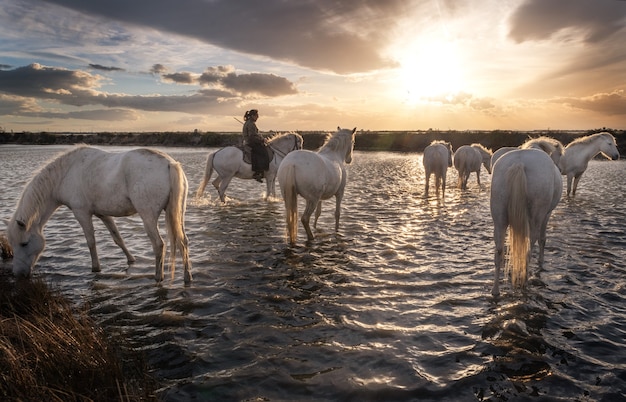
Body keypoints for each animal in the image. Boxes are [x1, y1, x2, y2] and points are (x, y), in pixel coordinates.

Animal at [6, 146, 191, 284]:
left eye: (24, 243)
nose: (18, 274)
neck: (66, 173)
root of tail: (169, 164)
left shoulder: (81, 213)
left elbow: (91, 241)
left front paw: (96, 268)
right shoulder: (103, 214)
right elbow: (117, 238)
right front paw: (131, 259)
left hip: (148, 216)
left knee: (159, 245)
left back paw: (158, 277)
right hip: (177, 214)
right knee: (183, 241)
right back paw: (187, 277)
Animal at [488, 149, 560, 296]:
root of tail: (519, 163)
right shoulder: (547, 214)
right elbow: (543, 239)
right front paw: (541, 261)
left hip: (499, 218)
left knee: (499, 252)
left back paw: (495, 290)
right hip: (536, 217)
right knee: (528, 249)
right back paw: (525, 283)